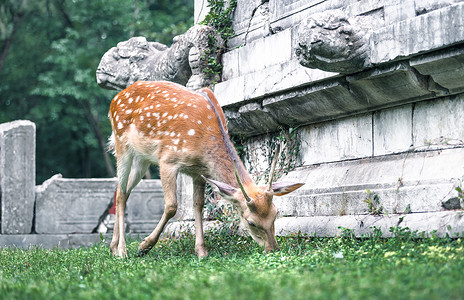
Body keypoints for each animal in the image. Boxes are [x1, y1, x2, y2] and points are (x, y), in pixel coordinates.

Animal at [109, 80, 304, 258]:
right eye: (251, 222)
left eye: (276, 214)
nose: (273, 249)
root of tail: (115, 98)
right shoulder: (167, 159)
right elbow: (172, 206)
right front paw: (144, 246)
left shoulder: (198, 172)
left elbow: (198, 206)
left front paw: (201, 251)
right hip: (121, 143)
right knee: (121, 192)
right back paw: (122, 251)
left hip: (142, 158)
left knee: (122, 190)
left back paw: (113, 246)